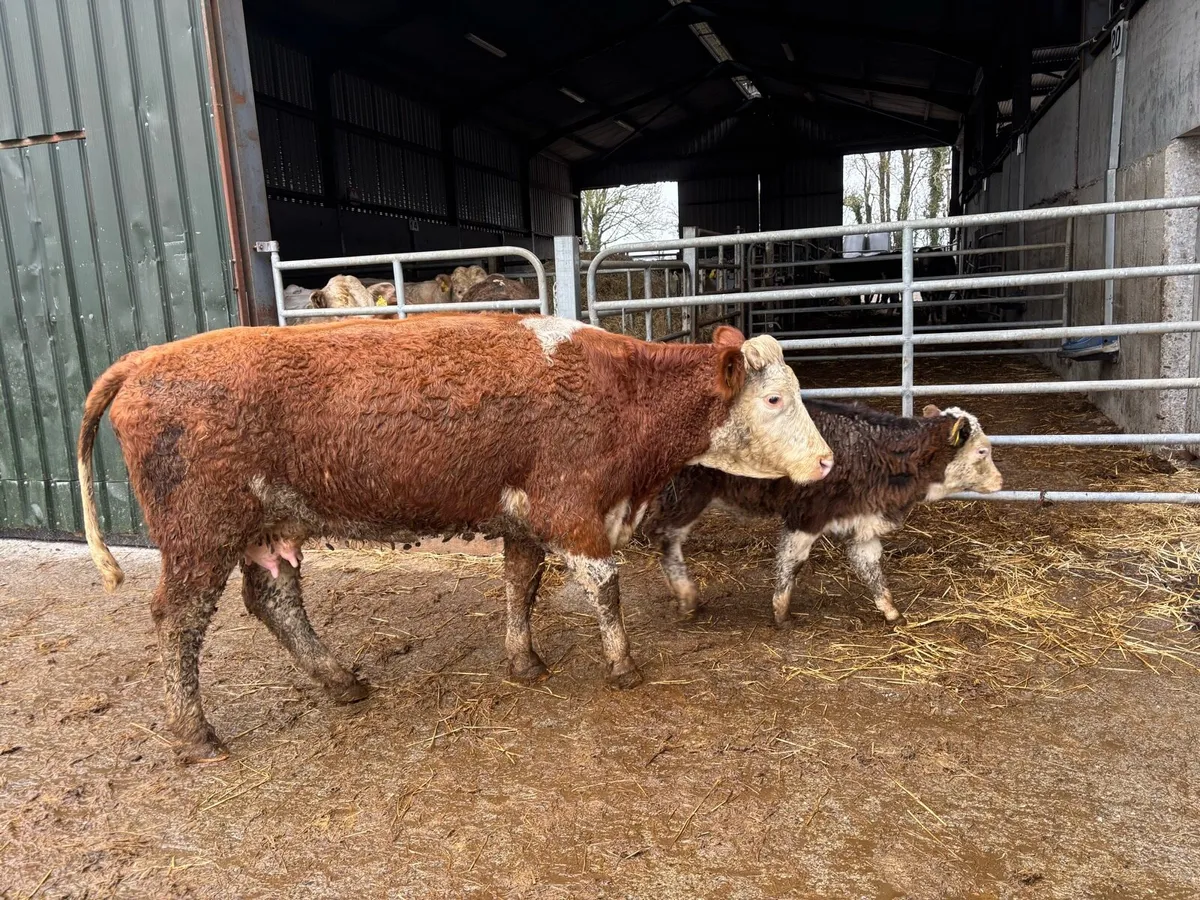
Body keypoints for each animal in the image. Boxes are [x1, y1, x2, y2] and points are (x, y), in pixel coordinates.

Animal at [77, 315, 834, 763]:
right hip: (199, 535)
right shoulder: (572, 508)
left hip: (265, 530)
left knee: (275, 601)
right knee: (178, 618)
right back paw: (194, 732)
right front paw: (623, 666)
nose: (826, 461)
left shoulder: (523, 517)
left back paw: (340, 681)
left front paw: (524, 659)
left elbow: (521, 585)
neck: (621, 393)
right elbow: (605, 586)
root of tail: (143, 359)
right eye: (774, 399)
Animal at [643, 402, 1003, 628]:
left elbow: (870, 569)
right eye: (981, 451)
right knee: (664, 536)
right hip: (685, 494)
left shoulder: (863, 522)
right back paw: (687, 597)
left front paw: (892, 613)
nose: (1000, 481)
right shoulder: (806, 515)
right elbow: (792, 563)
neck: (871, 451)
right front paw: (781, 614)